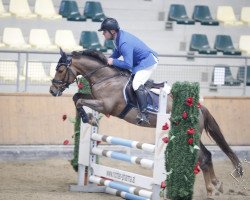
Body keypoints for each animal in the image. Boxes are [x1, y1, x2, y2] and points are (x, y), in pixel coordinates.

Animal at [49, 48, 243, 198]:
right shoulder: (96, 99)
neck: (105, 78)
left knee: (203, 157)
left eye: (60, 69)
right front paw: (89, 117)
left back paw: (212, 188)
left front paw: (89, 118)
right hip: (193, 135)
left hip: (189, 133)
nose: (52, 90)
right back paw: (214, 187)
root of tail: (198, 106)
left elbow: (80, 101)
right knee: (206, 156)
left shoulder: (106, 106)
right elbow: (77, 97)